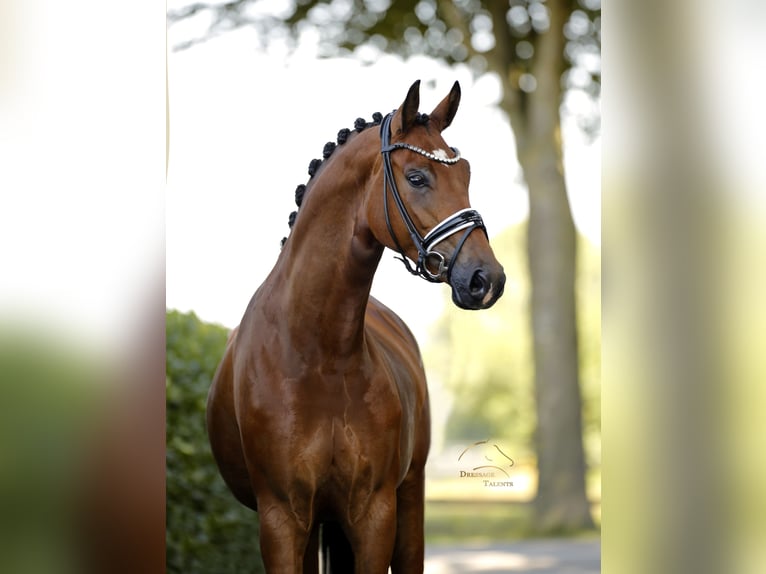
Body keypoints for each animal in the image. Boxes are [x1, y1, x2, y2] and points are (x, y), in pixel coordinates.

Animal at [207, 80, 506, 573]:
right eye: (417, 177)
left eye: (464, 173)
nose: (487, 279)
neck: (318, 355)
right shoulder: (282, 519)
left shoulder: (374, 513)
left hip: (408, 499)